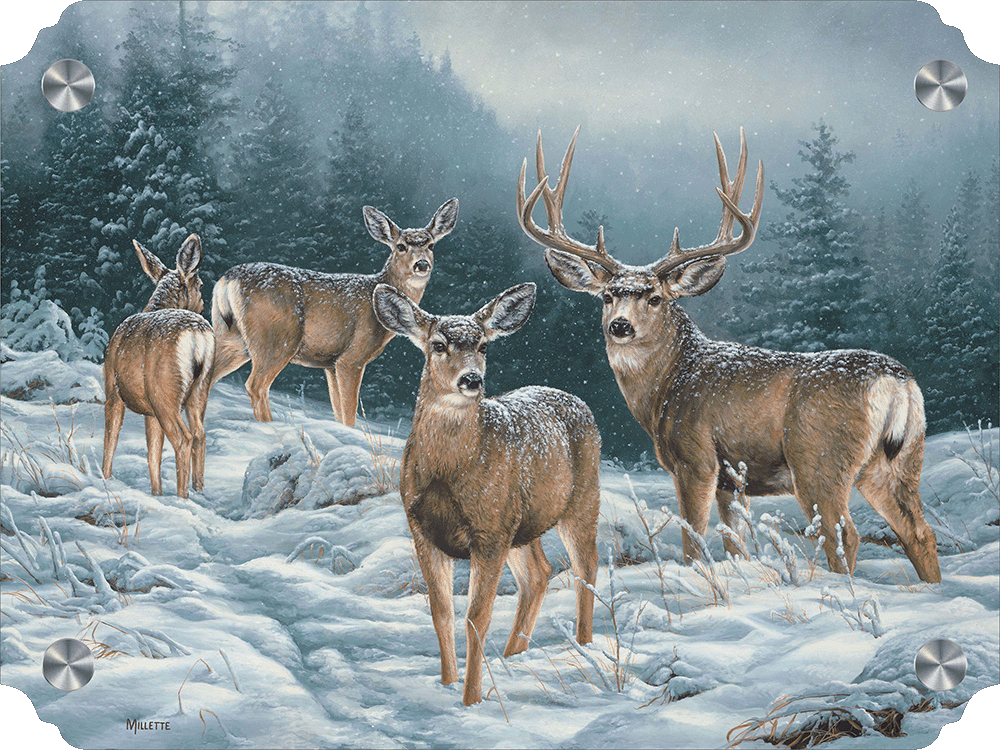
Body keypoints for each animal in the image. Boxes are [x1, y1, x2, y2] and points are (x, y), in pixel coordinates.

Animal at [103, 234, 215, 500]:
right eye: (201, 285)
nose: (203, 306)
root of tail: (197, 335)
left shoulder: (113, 390)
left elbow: (111, 440)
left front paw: (104, 479)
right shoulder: (150, 412)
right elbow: (153, 454)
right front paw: (156, 494)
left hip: (164, 392)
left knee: (184, 439)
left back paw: (183, 497)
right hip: (199, 389)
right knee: (199, 435)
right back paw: (198, 490)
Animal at [210, 199, 459, 425]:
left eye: (431, 245)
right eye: (400, 246)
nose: (422, 264)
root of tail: (227, 280)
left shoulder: (330, 363)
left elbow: (337, 410)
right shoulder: (351, 357)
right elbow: (349, 413)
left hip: (231, 337)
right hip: (276, 338)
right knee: (256, 385)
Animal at [371, 281, 601, 705]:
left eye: (483, 345)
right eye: (438, 344)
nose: (471, 380)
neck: (448, 476)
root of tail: (575, 400)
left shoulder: (489, 533)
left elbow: (476, 618)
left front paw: (471, 700)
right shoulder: (421, 531)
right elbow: (441, 613)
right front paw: (446, 684)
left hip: (579, 500)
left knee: (586, 567)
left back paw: (583, 645)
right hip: (521, 524)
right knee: (540, 573)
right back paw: (514, 656)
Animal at [516, 127, 941, 583]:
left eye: (655, 298)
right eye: (608, 296)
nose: (620, 326)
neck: (669, 384)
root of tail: (897, 382)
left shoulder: (697, 459)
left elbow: (694, 544)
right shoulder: (732, 480)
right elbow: (734, 544)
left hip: (819, 458)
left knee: (844, 533)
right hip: (898, 460)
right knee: (918, 531)